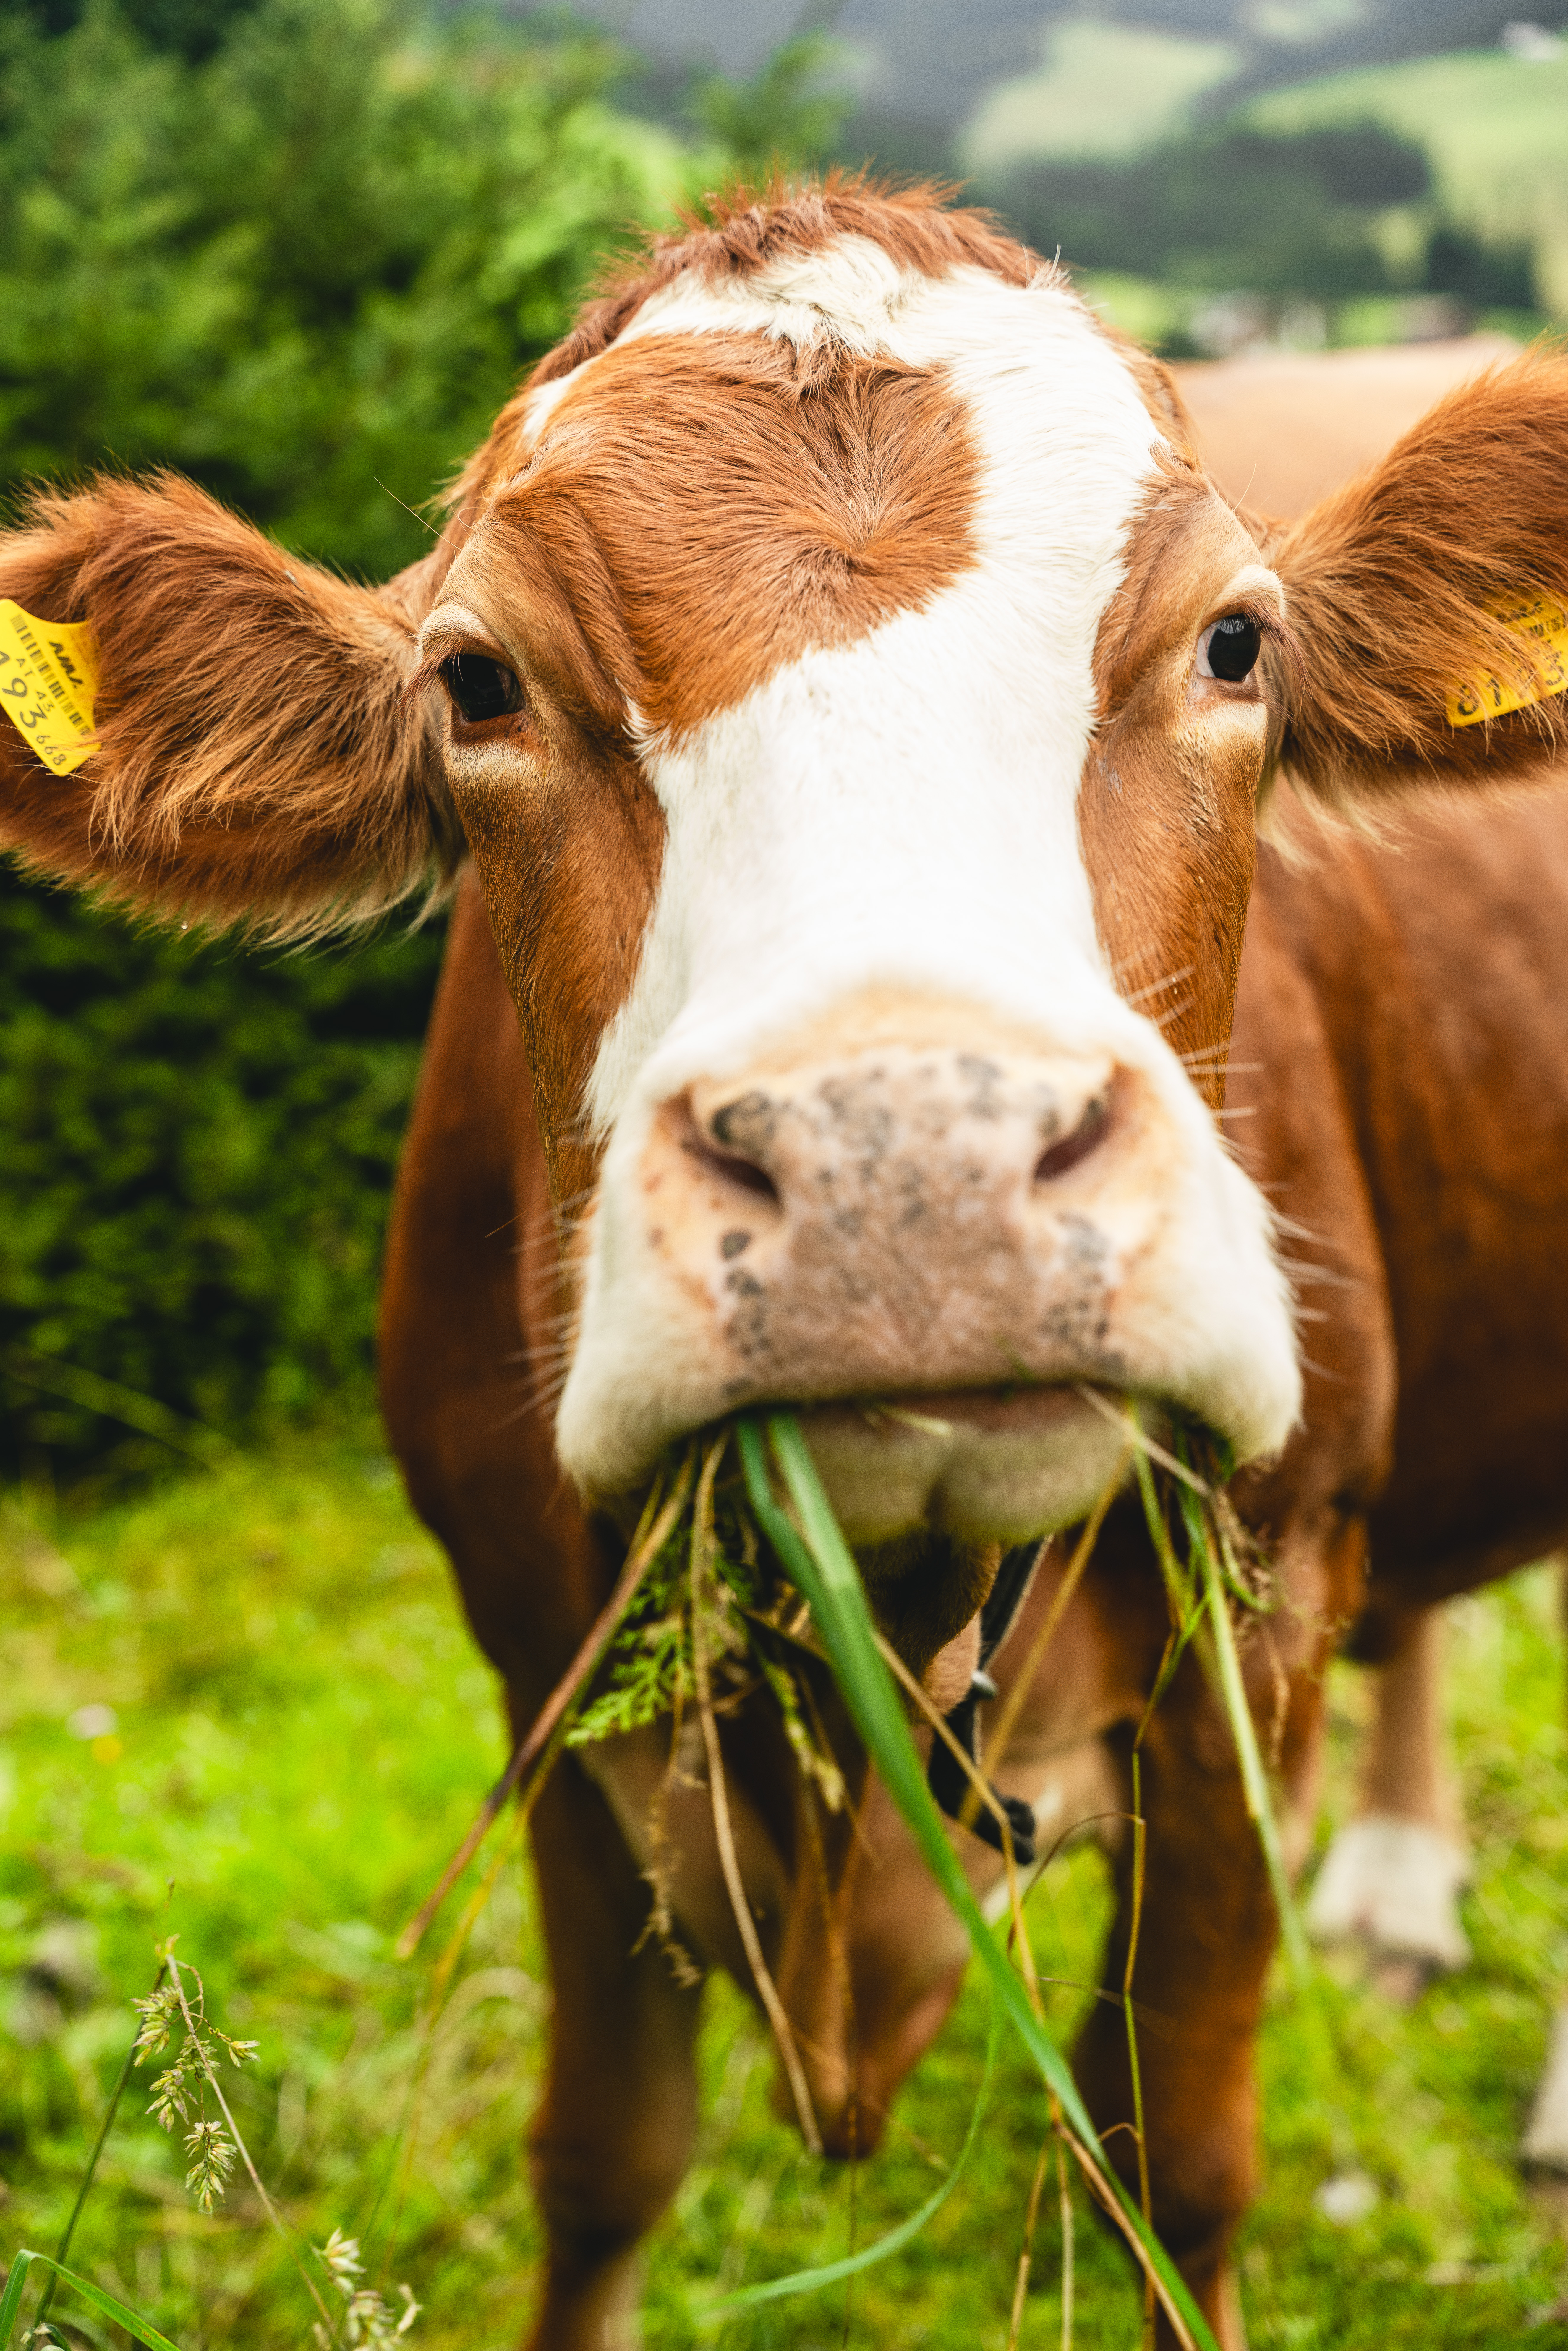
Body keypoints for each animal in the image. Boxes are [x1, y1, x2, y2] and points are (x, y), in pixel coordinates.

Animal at [5, 178, 1568, 2349]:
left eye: (1236, 642)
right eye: (476, 684)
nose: (909, 1159)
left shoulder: (1251, 1608)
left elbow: (1174, 2159)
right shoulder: (542, 1660)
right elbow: (601, 2157)